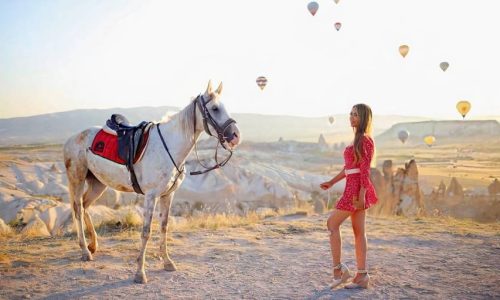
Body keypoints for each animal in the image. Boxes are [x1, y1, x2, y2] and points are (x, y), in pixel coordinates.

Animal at [63, 81, 240, 284]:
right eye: (215, 108)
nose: (236, 135)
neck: (169, 146)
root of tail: (71, 139)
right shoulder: (150, 196)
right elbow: (146, 232)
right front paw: (140, 272)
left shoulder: (168, 195)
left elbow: (164, 227)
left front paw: (167, 262)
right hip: (77, 179)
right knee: (77, 209)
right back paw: (85, 251)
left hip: (98, 183)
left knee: (85, 206)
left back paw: (93, 245)